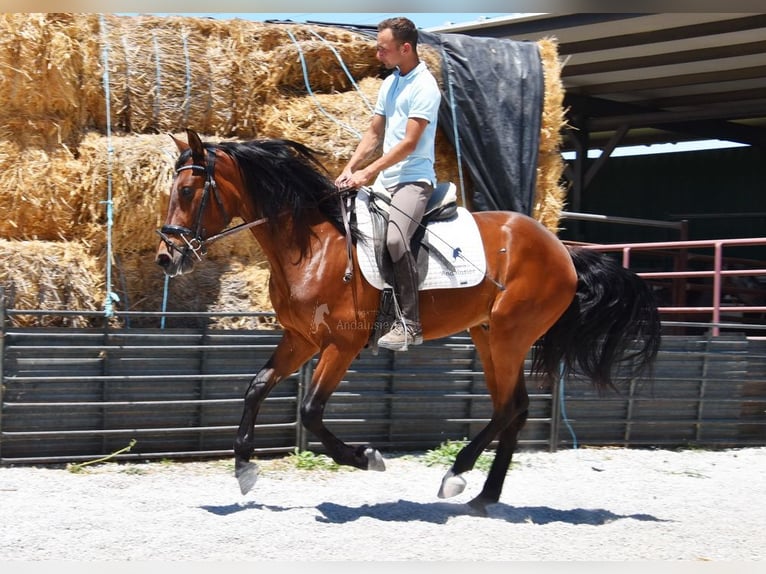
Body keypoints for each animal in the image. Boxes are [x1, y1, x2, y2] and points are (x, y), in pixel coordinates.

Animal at [155, 128, 662, 515]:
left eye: (187, 192)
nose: (166, 258)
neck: (313, 245)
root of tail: (563, 251)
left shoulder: (340, 345)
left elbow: (311, 411)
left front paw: (366, 457)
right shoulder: (301, 339)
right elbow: (256, 388)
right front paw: (244, 467)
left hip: (509, 336)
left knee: (510, 408)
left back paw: (458, 476)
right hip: (488, 334)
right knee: (512, 408)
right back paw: (481, 493)